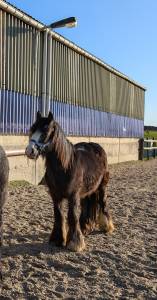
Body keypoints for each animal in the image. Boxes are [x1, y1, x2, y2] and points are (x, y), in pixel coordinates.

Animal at [25, 111, 114, 252]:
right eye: (32, 130)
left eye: (45, 132)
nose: (29, 151)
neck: (65, 167)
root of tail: (95, 146)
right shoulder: (56, 196)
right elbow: (59, 215)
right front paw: (57, 239)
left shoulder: (73, 196)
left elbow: (72, 216)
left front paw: (75, 243)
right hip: (85, 192)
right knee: (86, 207)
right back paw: (85, 227)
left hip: (101, 187)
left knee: (103, 203)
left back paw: (107, 227)